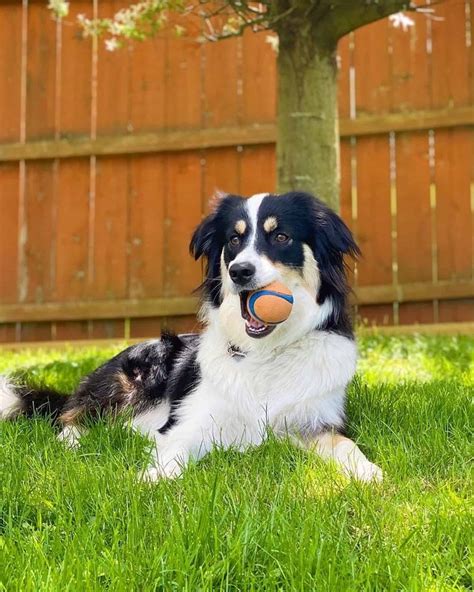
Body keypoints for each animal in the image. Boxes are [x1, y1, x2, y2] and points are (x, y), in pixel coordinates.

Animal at [0, 192, 382, 484]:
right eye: (234, 240)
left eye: (280, 237)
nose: (239, 271)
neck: (266, 352)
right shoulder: (192, 420)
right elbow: (176, 448)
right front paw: (153, 478)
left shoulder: (314, 422)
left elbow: (345, 445)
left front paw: (368, 472)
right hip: (140, 368)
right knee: (70, 418)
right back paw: (74, 443)